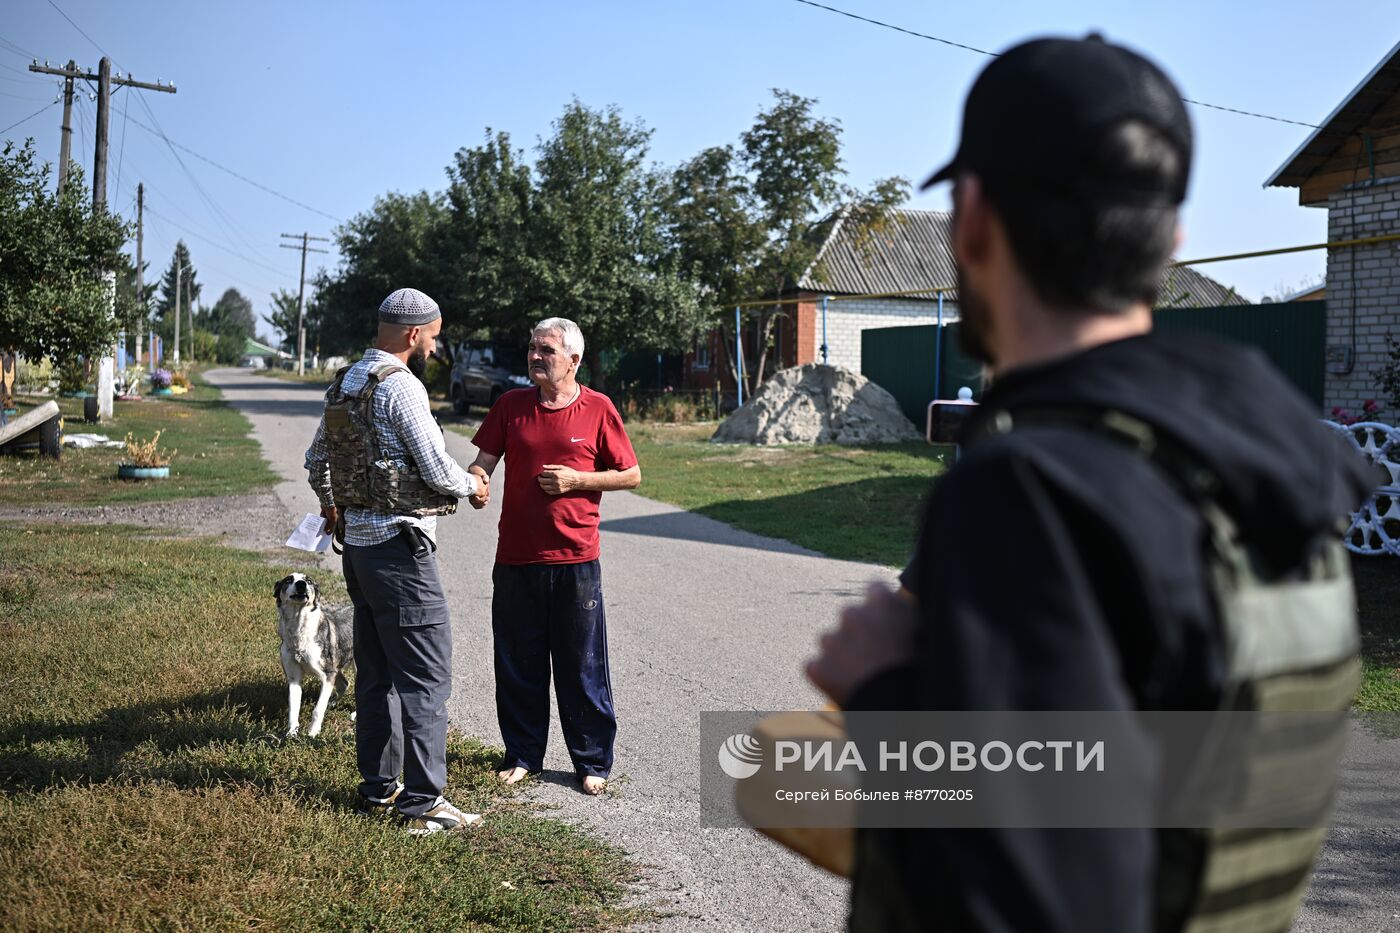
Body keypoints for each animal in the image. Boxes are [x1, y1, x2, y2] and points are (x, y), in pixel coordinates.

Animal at [270, 571, 352, 739]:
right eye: (289, 580)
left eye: (308, 580)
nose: (301, 584)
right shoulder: (294, 678)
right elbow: (294, 709)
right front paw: (291, 734)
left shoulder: (328, 675)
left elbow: (317, 710)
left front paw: (313, 733)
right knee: (345, 683)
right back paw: (332, 702)